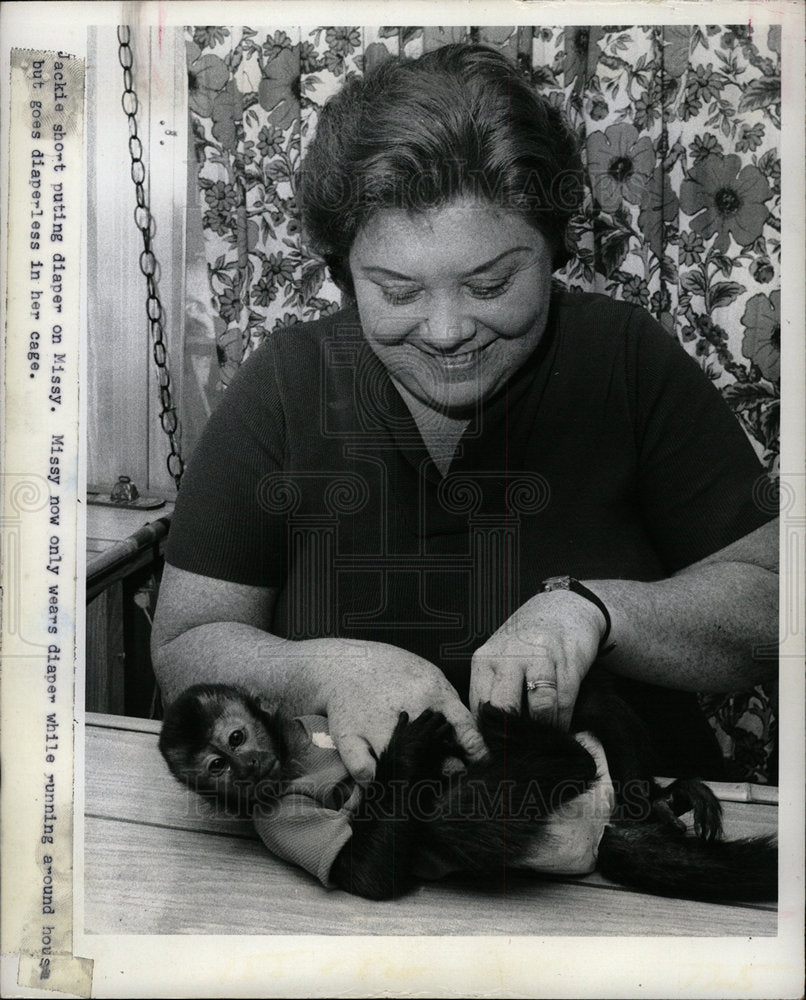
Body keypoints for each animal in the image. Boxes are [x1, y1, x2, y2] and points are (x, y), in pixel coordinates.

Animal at [156, 672, 776, 908]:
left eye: (236, 736)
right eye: (215, 765)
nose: (243, 766)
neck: (297, 755)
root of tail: (607, 833)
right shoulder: (276, 811)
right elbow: (370, 875)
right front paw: (406, 753)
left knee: (593, 697)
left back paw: (659, 800)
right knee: (447, 819)